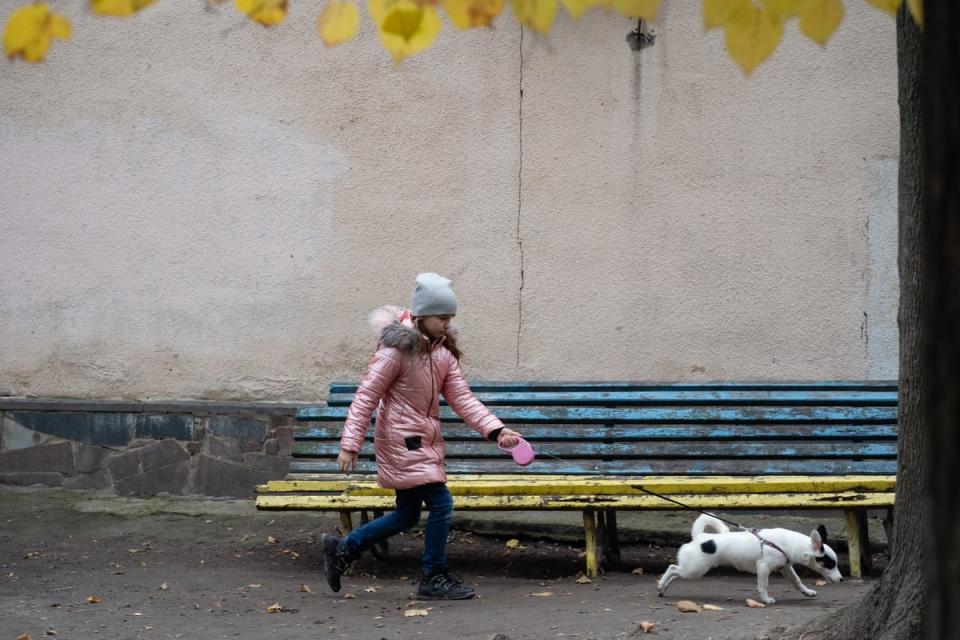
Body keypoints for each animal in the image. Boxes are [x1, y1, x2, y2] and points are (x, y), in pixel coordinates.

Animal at [656, 510, 844, 604]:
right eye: (830, 564)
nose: (842, 579)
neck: (787, 544)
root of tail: (700, 537)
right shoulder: (763, 568)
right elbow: (763, 586)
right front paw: (766, 600)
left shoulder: (785, 567)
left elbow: (797, 581)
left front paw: (807, 592)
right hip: (694, 570)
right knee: (672, 568)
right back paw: (661, 585)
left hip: (692, 569)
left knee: (675, 572)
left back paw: (664, 588)